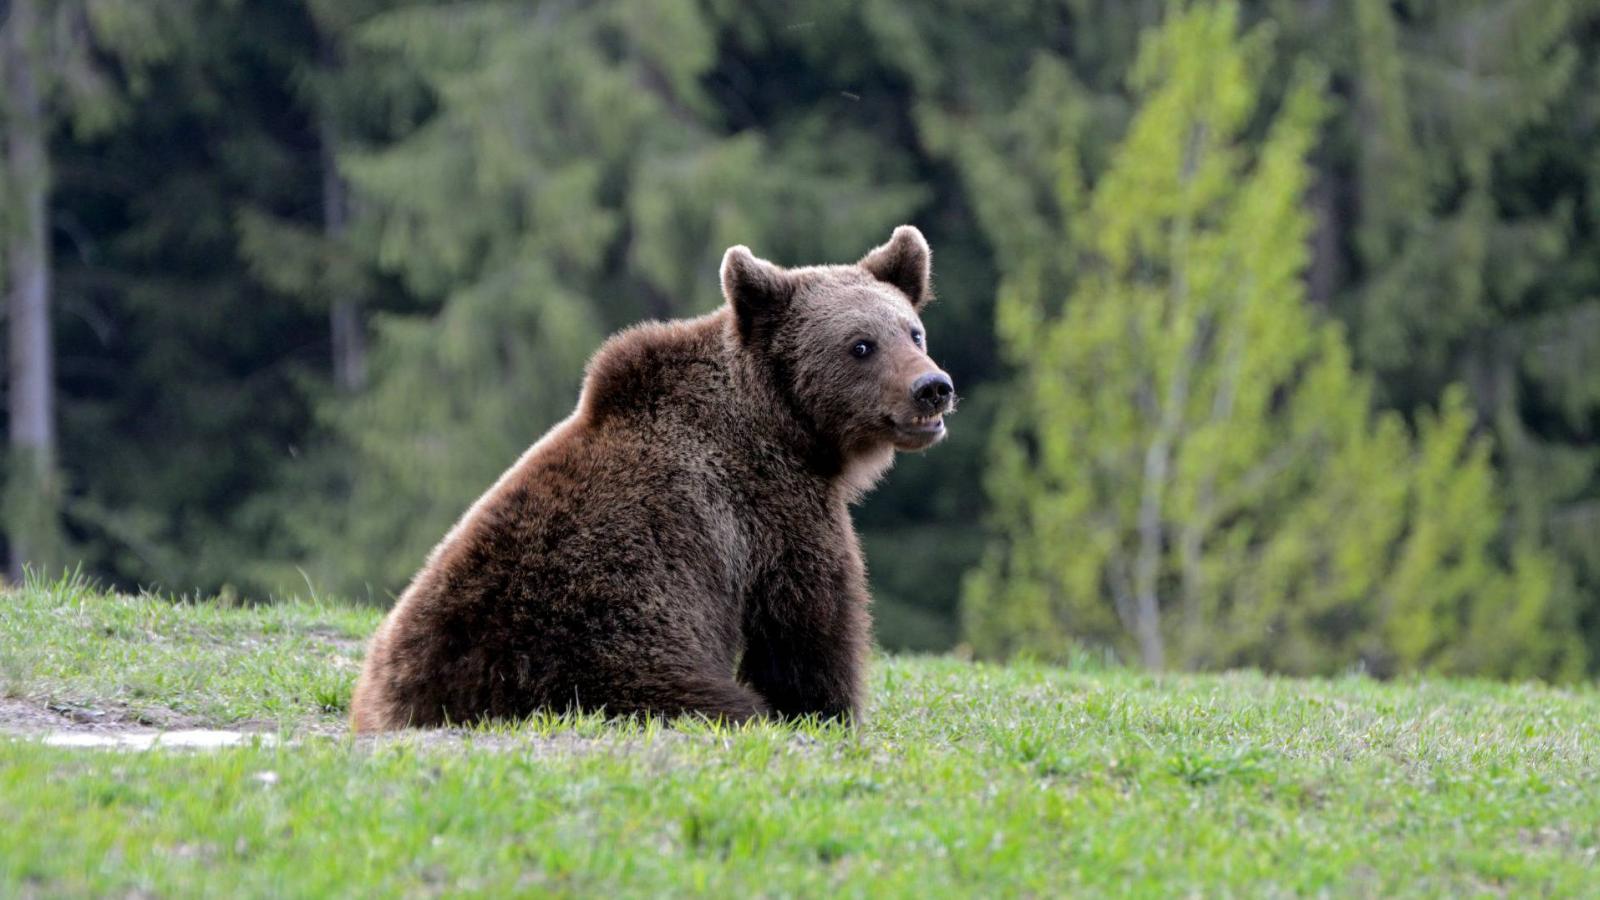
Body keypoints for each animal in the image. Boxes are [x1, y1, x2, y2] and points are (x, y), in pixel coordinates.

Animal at [350, 224, 947, 730]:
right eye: (861, 344)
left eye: (914, 332)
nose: (933, 387)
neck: (787, 428)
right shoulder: (771, 511)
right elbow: (808, 623)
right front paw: (828, 709)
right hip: (606, 655)